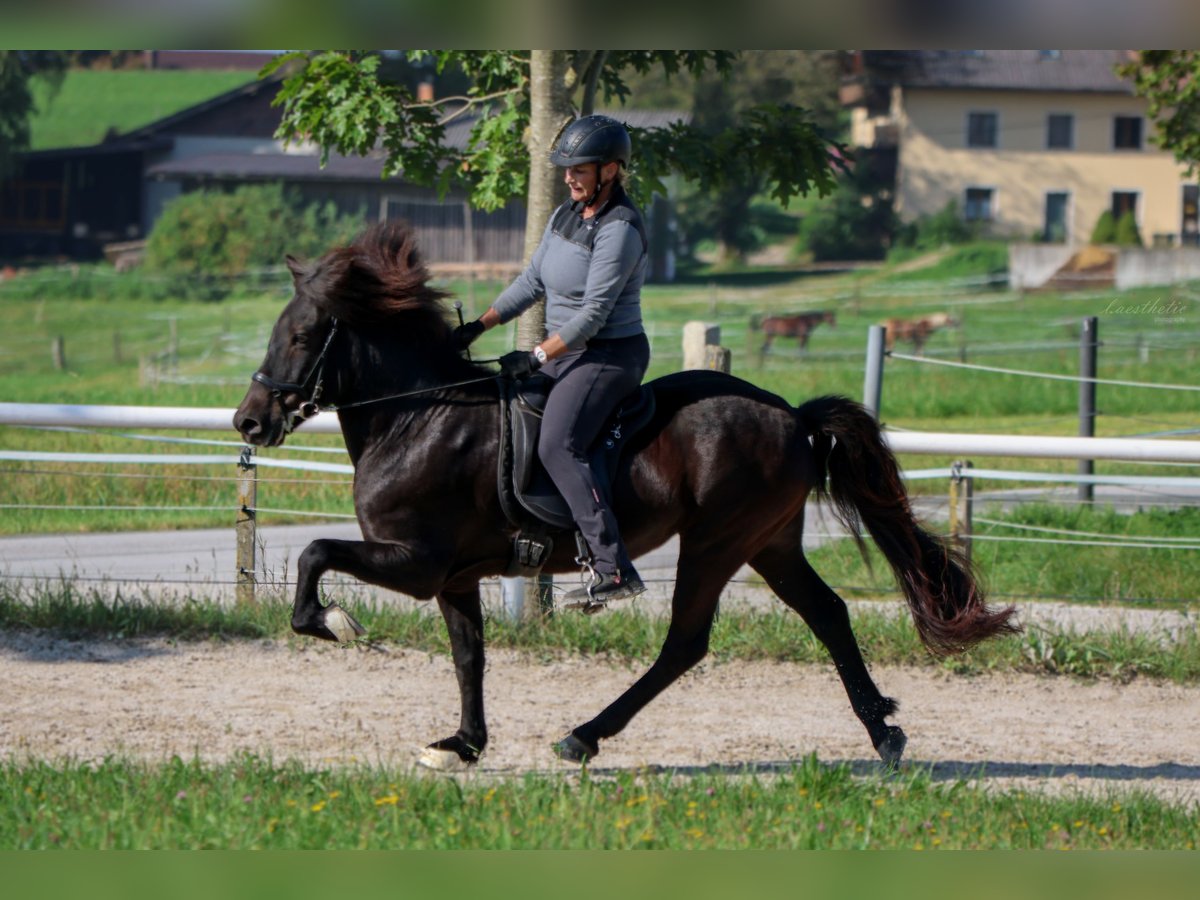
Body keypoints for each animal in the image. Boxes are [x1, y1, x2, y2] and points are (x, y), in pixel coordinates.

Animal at [231, 225, 1012, 777]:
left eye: (302, 335)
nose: (248, 423)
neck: (420, 417)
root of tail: (791, 413)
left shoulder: (417, 562)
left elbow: (315, 552)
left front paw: (333, 622)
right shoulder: (454, 575)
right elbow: (468, 657)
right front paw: (463, 744)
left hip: (717, 542)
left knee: (686, 643)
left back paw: (583, 736)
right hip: (770, 541)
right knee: (827, 614)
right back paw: (884, 731)